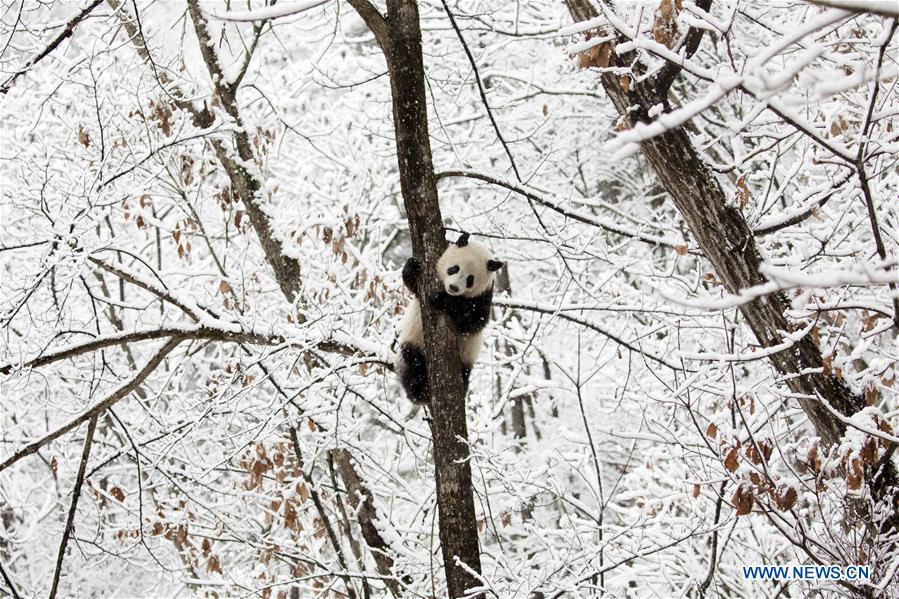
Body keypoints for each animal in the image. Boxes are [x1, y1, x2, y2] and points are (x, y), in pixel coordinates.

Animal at [396, 232, 502, 406]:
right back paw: (418, 389)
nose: (453, 288)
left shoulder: (484, 296)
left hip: (466, 356)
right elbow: (412, 285)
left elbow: (474, 320)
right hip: (413, 340)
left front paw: (441, 299)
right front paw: (413, 265)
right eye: (454, 268)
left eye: (470, 279)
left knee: (464, 372)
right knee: (412, 359)